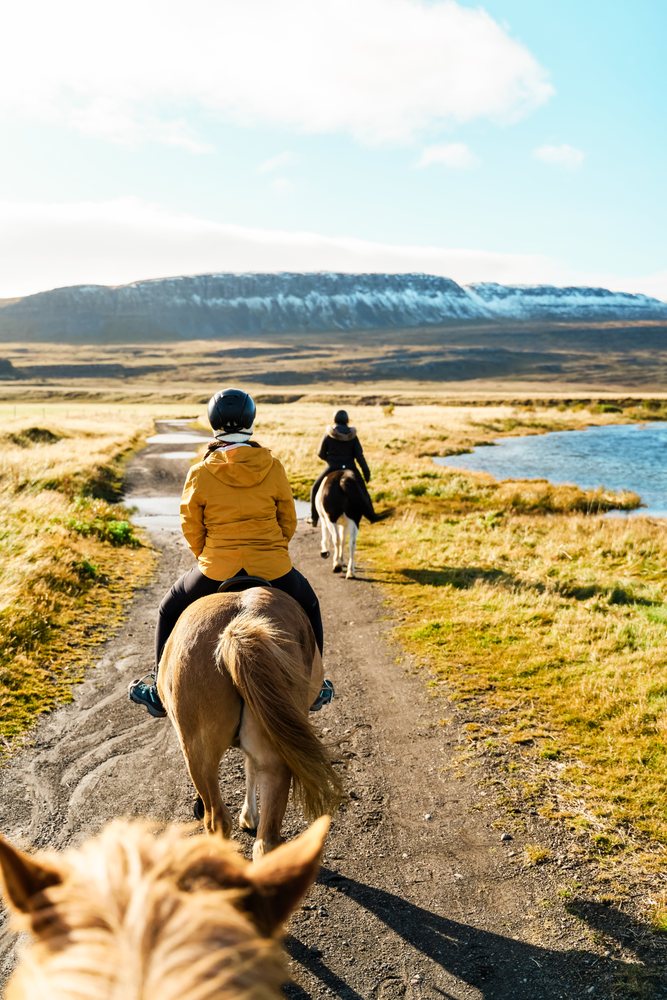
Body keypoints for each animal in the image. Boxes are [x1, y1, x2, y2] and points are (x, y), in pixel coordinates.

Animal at [157, 584, 343, 858]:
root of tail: (236, 631)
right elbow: (250, 766)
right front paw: (249, 816)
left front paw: (247, 817)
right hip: (270, 750)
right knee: (263, 839)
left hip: (197, 752)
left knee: (219, 821)